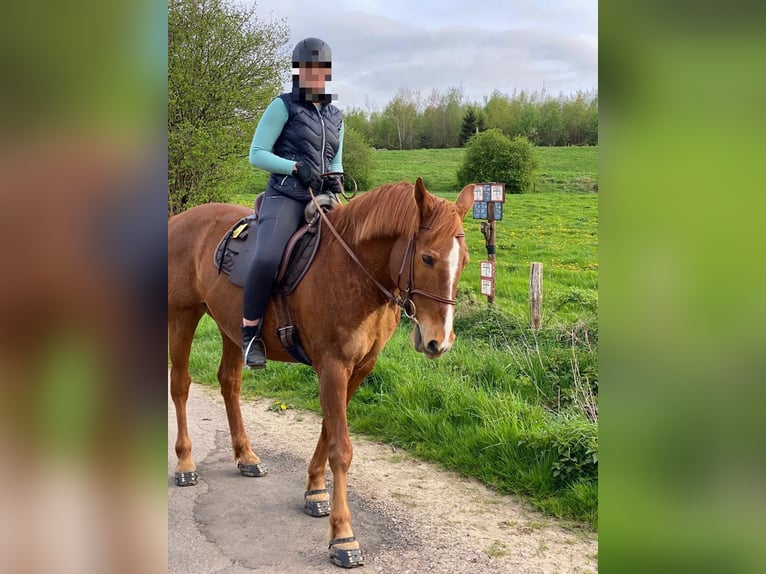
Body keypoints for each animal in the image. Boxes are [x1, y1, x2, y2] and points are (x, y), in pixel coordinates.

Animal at [167, 177, 473, 567]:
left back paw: (246, 456)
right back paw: (185, 462)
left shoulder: (358, 367)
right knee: (180, 385)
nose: (440, 341)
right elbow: (340, 447)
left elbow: (329, 430)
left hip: (230, 328)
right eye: (427, 258)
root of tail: (180, 219)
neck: (354, 271)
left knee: (229, 383)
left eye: (464, 260)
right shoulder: (332, 366)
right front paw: (343, 536)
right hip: (183, 315)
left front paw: (314, 490)